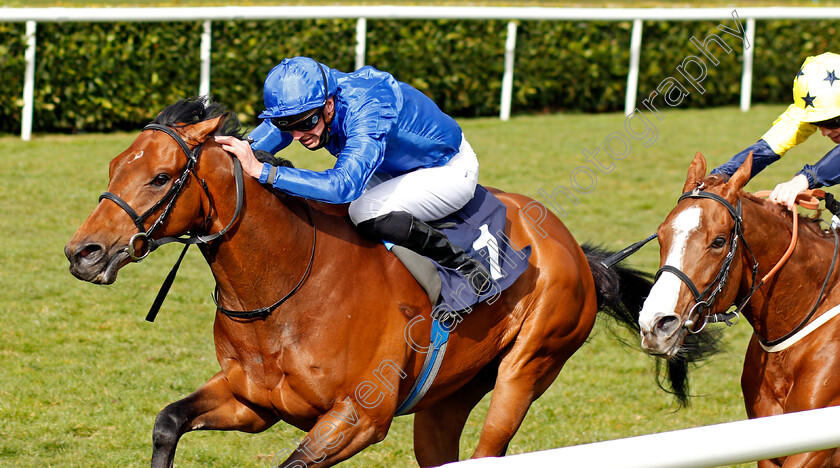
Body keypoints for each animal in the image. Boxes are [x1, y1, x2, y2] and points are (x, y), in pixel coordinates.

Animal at [67, 97, 656, 466]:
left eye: (161, 177)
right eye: (115, 165)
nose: (82, 253)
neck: (282, 290)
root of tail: (573, 248)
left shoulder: (358, 417)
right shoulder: (251, 403)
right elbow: (168, 421)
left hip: (526, 368)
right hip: (448, 398)